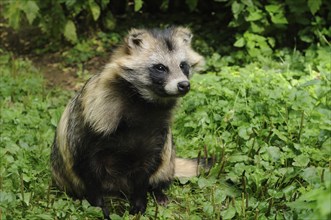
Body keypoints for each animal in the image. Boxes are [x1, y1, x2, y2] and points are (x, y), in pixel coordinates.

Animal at [51, 26, 205, 218]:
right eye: (160, 67)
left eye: (183, 65)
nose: (183, 85)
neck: (144, 102)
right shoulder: (92, 119)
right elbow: (87, 166)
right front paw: (98, 206)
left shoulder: (157, 131)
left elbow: (147, 166)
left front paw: (140, 200)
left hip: (168, 158)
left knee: (165, 161)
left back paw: (158, 190)